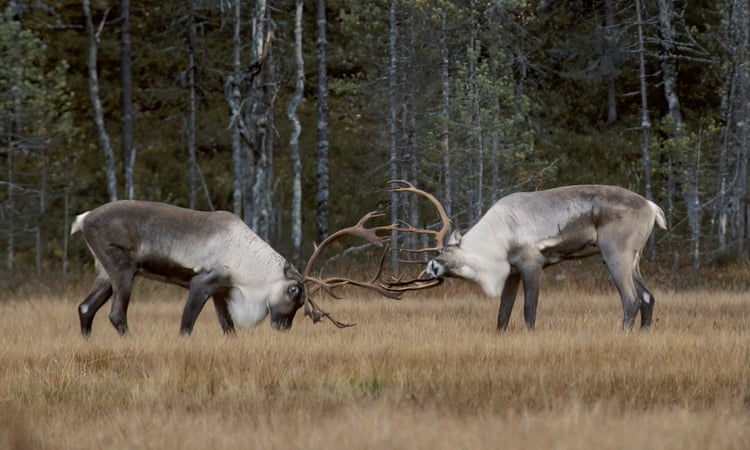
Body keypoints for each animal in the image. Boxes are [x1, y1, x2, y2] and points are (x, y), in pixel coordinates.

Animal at [71, 199, 435, 337]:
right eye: (294, 291)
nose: (282, 328)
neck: (249, 268)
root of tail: (82, 218)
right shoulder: (203, 282)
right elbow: (187, 325)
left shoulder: (222, 292)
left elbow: (228, 327)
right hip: (124, 268)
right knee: (116, 314)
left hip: (105, 273)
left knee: (86, 307)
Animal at [390, 181, 667, 330]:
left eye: (445, 250)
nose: (431, 265)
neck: (497, 240)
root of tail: (652, 207)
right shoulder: (511, 273)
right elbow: (502, 314)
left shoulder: (531, 264)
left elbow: (529, 309)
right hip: (634, 258)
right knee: (647, 297)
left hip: (615, 252)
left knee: (631, 299)